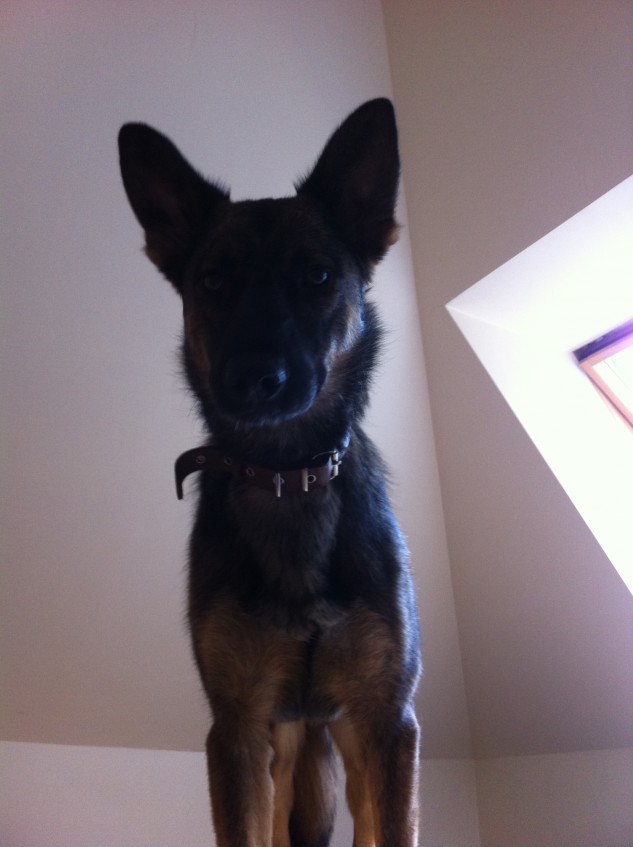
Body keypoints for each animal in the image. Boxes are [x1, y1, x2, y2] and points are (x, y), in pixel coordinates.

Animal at [118, 98, 421, 847]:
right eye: (213, 281)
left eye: (316, 275)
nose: (253, 379)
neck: (288, 476)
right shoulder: (237, 731)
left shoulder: (387, 722)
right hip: (283, 753)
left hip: (351, 746)